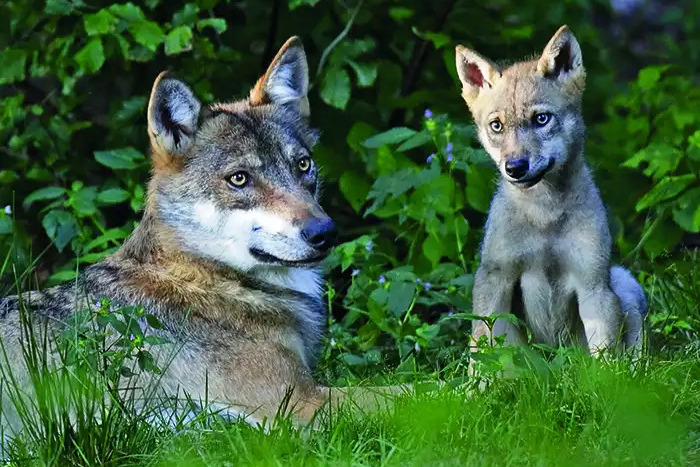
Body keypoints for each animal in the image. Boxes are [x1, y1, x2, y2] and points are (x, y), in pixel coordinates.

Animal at [0, 37, 394, 435]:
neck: (203, 276)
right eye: (239, 179)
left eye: (303, 165)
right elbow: (405, 393)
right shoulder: (299, 404)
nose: (325, 233)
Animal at [455, 26, 647, 355]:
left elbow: (606, 358)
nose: (515, 167)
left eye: (541, 119)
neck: (544, 214)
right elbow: (481, 351)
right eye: (496, 126)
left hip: (624, 284)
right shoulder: (495, 279)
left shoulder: (593, 285)